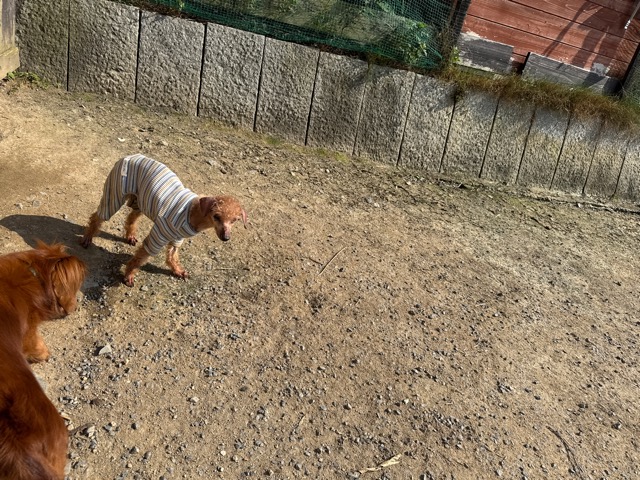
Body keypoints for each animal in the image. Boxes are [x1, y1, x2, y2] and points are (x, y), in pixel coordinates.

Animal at [80, 154, 247, 286]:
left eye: (234, 220)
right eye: (217, 216)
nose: (226, 238)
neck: (191, 214)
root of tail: (130, 156)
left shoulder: (177, 239)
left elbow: (172, 257)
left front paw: (178, 270)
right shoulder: (158, 237)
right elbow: (140, 258)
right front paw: (128, 275)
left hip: (141, 201)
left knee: (131, 217)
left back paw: (130, 236)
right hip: (115, 192)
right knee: (98, 216)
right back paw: (88, 237)